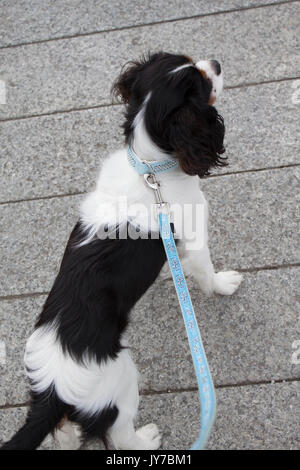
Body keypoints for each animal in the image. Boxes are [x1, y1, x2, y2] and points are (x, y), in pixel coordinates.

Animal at [1, 52, 243, 452]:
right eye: (203, 82)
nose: (218, 63)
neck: (151, 167)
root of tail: (53, 392)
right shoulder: (195, 237)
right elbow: (205, 271)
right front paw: (224, 284)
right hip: (122, 382)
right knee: (119, 432)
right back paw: (147, 439)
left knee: (65, 432)